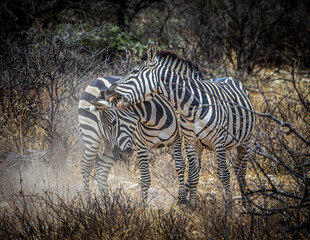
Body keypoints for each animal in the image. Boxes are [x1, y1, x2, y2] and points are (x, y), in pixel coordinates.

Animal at [104, 43, 254, 210]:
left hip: (245, 142)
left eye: (135, 71)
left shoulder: (218, 141)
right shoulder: (190, 142)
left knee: (240, 170)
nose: (108, 91)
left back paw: (246, 204)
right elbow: (193, 173)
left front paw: (228, 208)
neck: (192, 108)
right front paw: (191, 205)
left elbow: (223, 173)